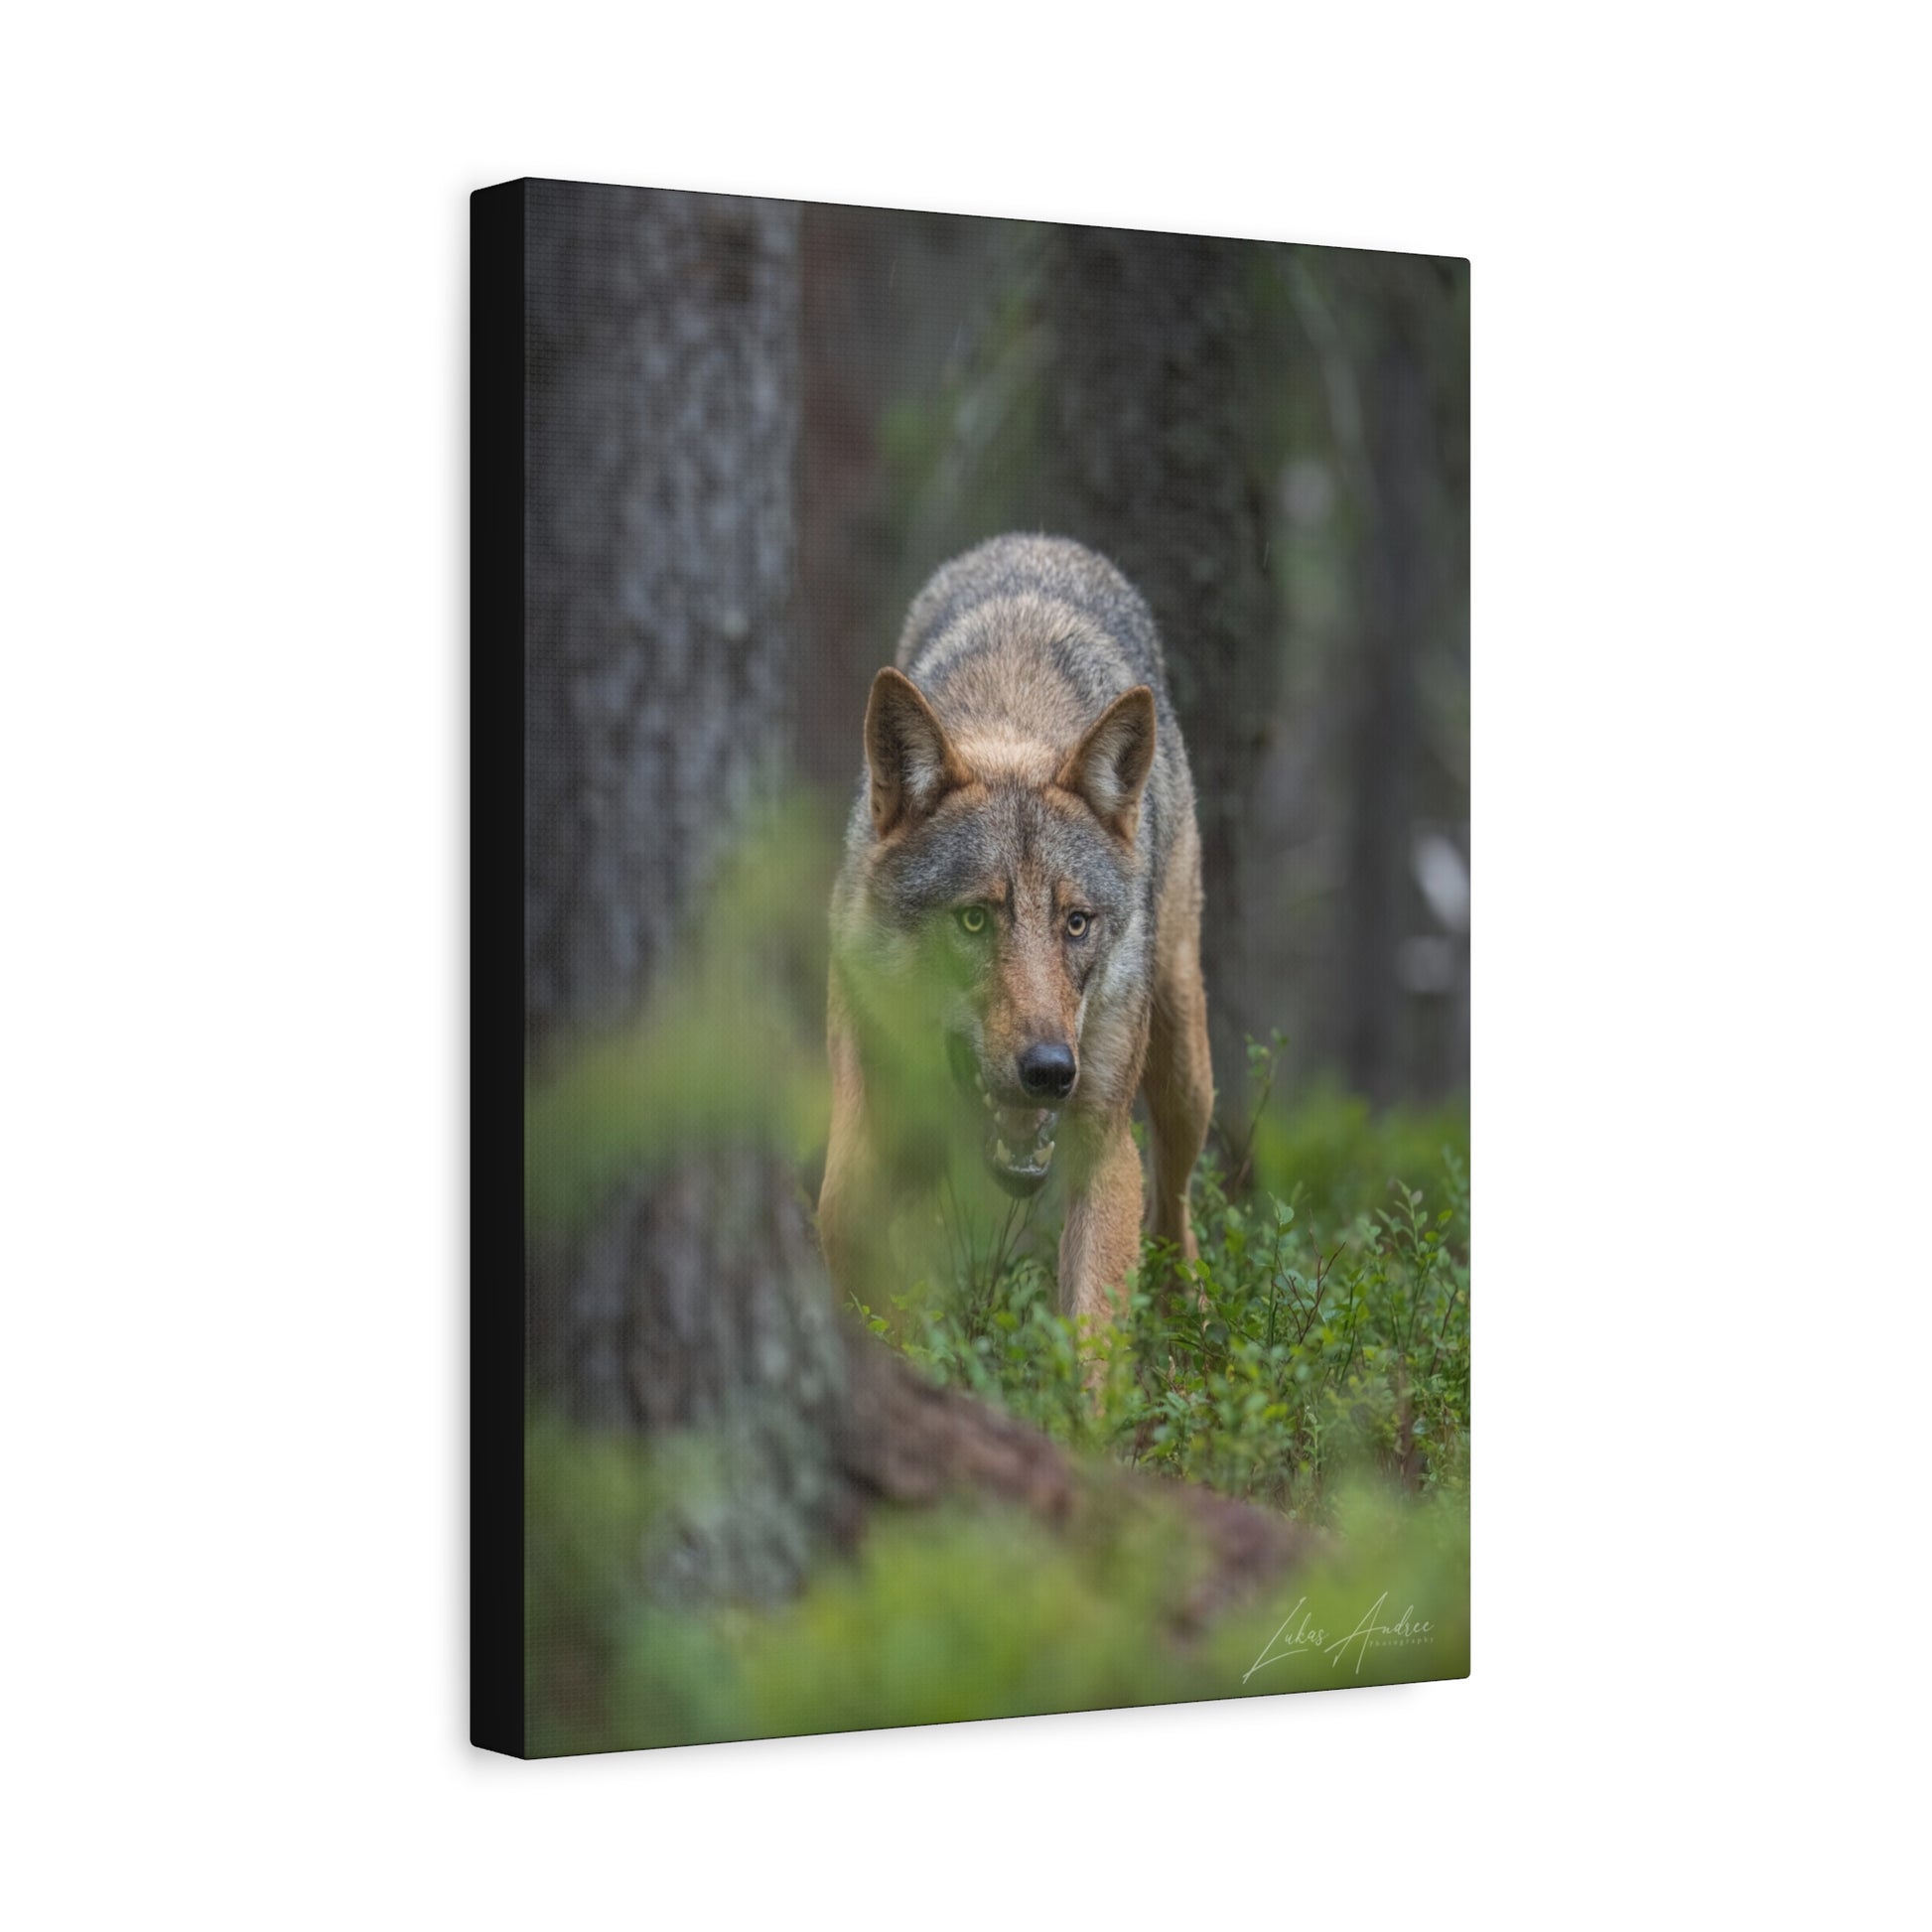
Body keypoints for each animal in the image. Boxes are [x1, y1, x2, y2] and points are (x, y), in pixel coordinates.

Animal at [818, 533, 1215, 1343]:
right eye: (974, 919)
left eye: (1076, 923)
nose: (1050, 1071)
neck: (1014, 715)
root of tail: (1039, 539)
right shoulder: (873, 1112)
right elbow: (854, 1232)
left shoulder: (1101, 1142)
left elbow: (1093, 1336)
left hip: (1183, 1067)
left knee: (1176, 1201)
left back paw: (1188, 1317)